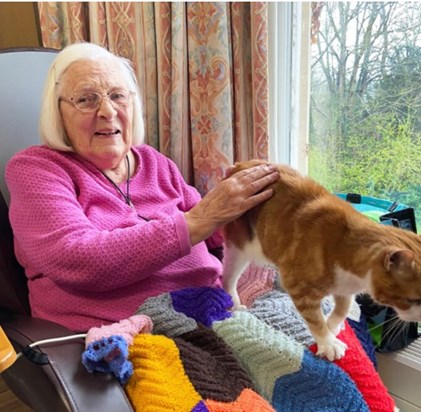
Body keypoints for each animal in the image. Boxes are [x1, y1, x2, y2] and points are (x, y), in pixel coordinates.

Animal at [220, 161, 420, 360]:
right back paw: (235, 304)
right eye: (415, 299)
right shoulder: (297, 287)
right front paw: (328, 341)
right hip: (239, 250)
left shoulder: (344, 287)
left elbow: (343, 308)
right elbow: (315, 319)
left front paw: (332, 326)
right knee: (228, 279)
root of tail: (241, 165)